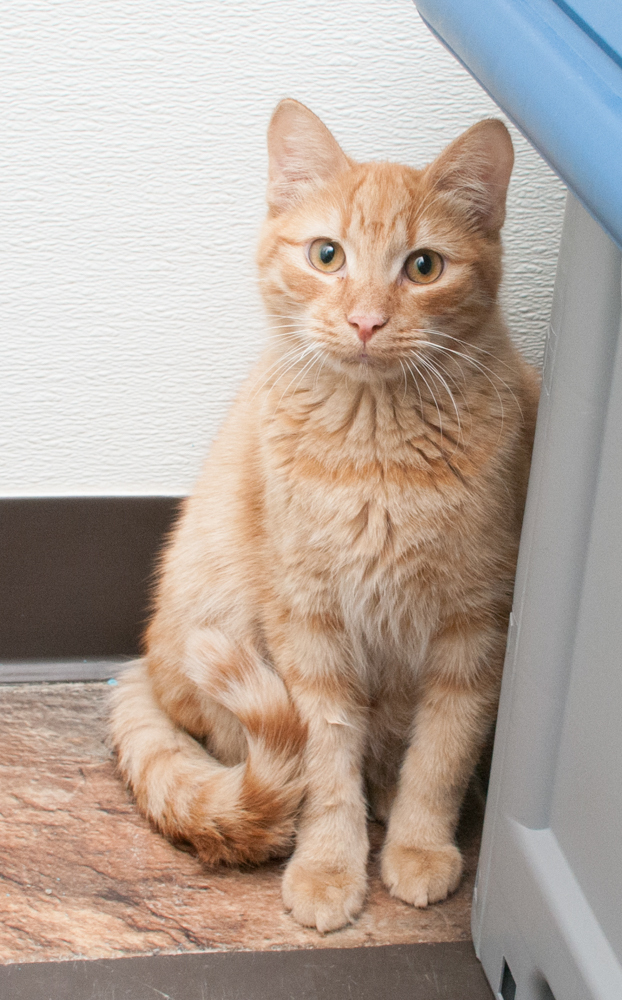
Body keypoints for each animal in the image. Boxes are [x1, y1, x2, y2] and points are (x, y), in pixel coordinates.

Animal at [111, 99, 540, 928]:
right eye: (327, 255)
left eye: (424, 267)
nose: (367, 321)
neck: (377, 454)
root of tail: (145, 661)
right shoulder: (308, 627)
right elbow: (325, 768)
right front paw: (328, 866)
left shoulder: (475, 628)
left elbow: (441, 755)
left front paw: (418, 847)